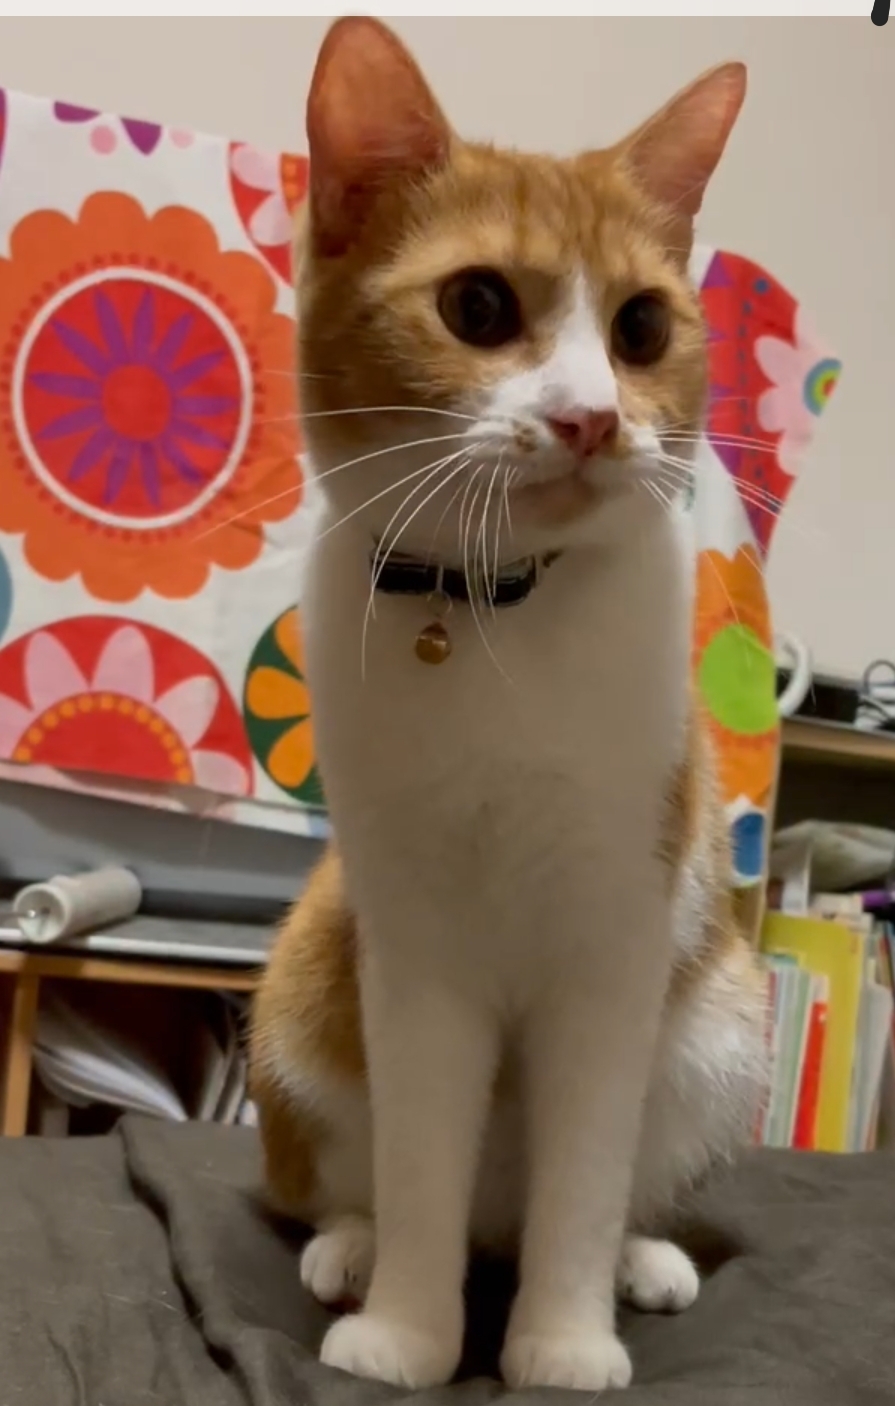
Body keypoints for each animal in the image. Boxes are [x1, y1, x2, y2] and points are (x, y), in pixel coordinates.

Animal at [250, 15, 768, 1394]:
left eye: (640, 327)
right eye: (477, 306)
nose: (589, 420)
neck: (488, 617)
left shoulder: (613, 947)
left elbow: (581, 1181)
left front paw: (562, 1339)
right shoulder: (417, 951)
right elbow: (419, 1158)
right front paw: (407, 1336)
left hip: (720, 1013)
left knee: (614, 1180)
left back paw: (644, 1259)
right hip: (307, 972)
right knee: (357, 1183)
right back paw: (352, 1248)